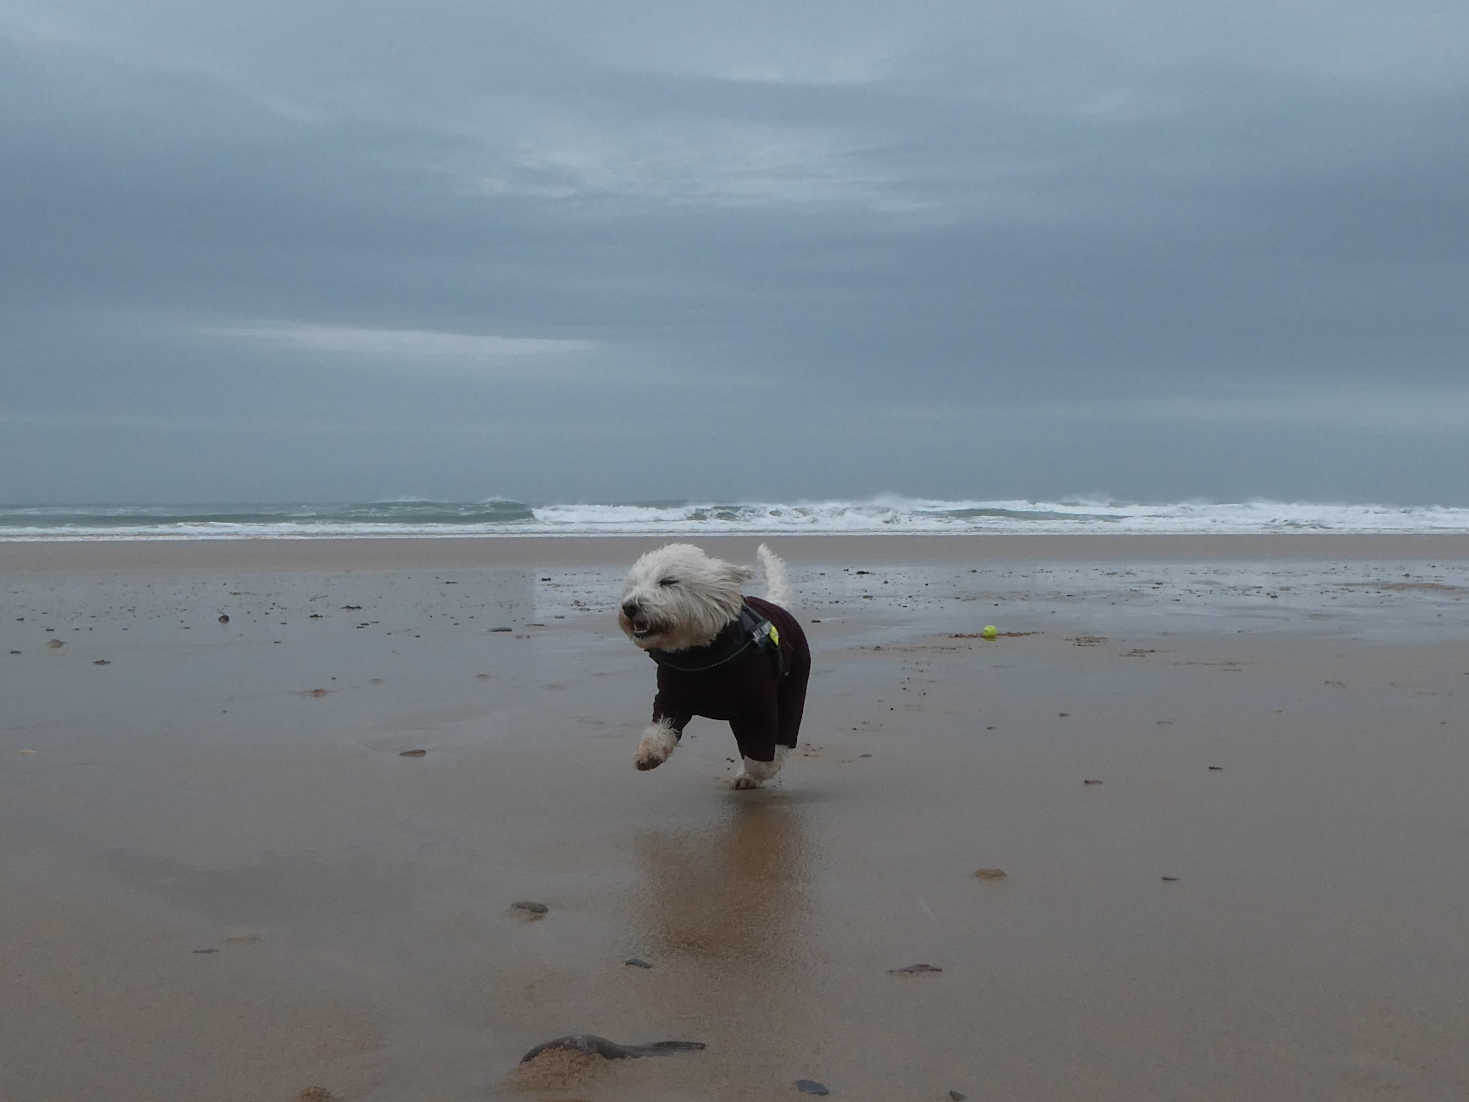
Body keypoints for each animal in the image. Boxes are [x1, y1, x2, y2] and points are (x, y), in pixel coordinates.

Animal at [614, 546, 810, 787]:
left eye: (668, 581)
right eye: (633, 584)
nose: (629, 607)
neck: (702, 656)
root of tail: (776, 604)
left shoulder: (759, 704)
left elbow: (761, 751)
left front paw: (757, 771)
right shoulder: (671, 697)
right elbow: (661, 725)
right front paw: (649, 754)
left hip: (794, 684)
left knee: (786, 731)